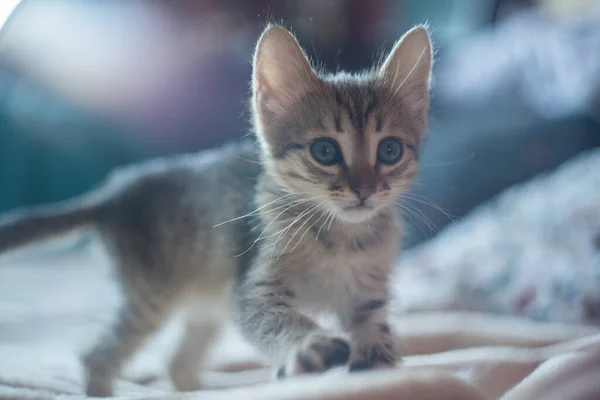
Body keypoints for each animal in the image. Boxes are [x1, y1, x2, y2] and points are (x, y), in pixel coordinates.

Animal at [0, 25, 434, 396]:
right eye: (325, 151)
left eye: (390, 150)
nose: (364, 190)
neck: (343, 238)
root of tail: (114, 189)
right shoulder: (255, 290)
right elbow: (279, 321)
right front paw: (310, 344)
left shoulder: (368, 295)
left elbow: (374, 332)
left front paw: (377, 364)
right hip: (151, 296)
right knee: (97, 356)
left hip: (205, 302)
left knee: (177, 363)